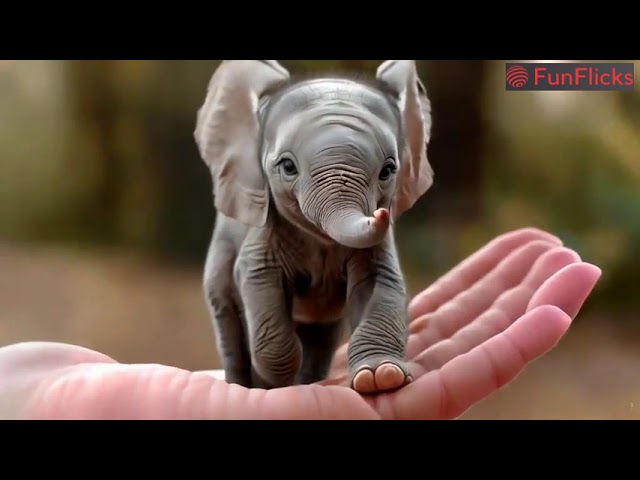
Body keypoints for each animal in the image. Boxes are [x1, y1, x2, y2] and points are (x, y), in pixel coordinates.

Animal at [195, 59, 436, 394]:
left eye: (388, 170)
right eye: (287, 167)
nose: (380, 215)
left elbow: (380, 282)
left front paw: (381, 378)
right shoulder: (266, 233)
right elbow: (259, 279)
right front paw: (270, 386)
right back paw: (244, 384)